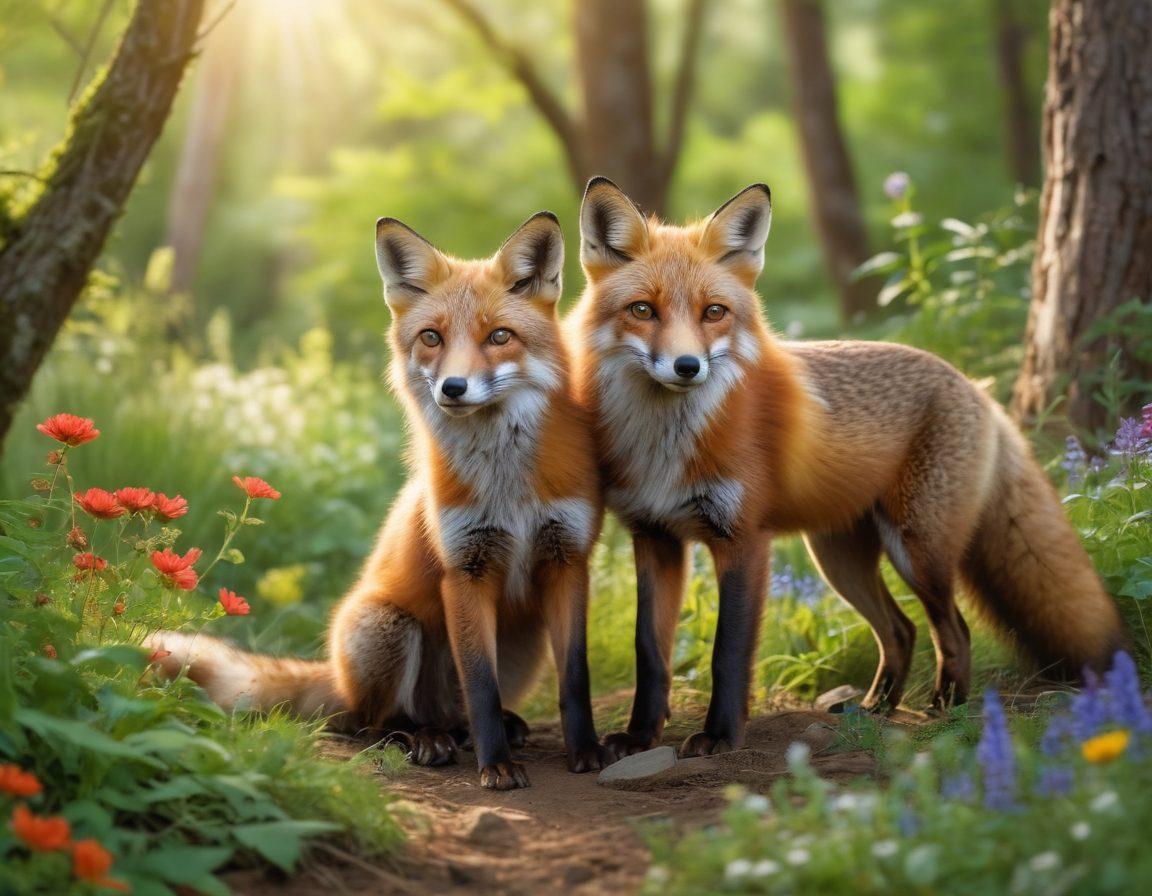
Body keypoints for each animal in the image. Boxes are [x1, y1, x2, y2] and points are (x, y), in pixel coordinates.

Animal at [149, 211, 606, 790]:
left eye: (499, 336)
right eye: (432, 337)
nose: (453, 388)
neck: (509, 486)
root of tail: (337, 674)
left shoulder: (568, 558)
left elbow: (575, 677)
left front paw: (586, 751)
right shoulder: (464, 568)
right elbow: (480, 685)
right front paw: (496, 766)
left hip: (523, 641)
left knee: (454, 713)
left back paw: (477, 729)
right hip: (387, 627)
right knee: (368, 721)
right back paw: (420, 738)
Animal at [567, 176, 1128, 761]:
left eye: (713, 312)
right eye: (643, 310)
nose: (686, 366)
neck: (666, 447)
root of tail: (975, 386)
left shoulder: (743, 538)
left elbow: (728, 652)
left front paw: (720, 735)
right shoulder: (655, 538)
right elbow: (649, 652)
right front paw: (639, 735)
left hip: (917, 549)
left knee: (954, 629)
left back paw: (947, 710)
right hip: (839, 560)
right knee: (901, 631)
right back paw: (876, 708)